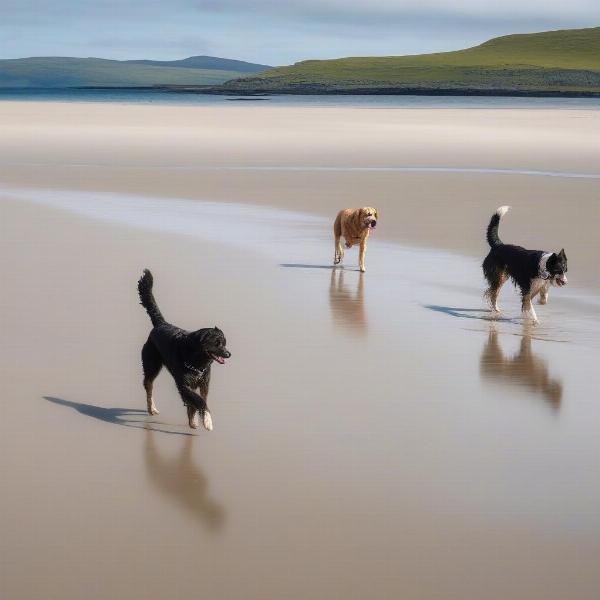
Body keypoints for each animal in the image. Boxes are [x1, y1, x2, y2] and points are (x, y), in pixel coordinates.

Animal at [137, 270, 231, 432]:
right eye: (217, 343)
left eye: (224, 344)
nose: (228, 354)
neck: (198, 361)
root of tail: (161, 323)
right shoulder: (183, 384)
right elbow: (200, 401)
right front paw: (207, 421)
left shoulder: (203, 384)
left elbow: (197, 402)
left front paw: (194, 421)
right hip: (152, 365)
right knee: (148, 386)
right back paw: (152, 408)